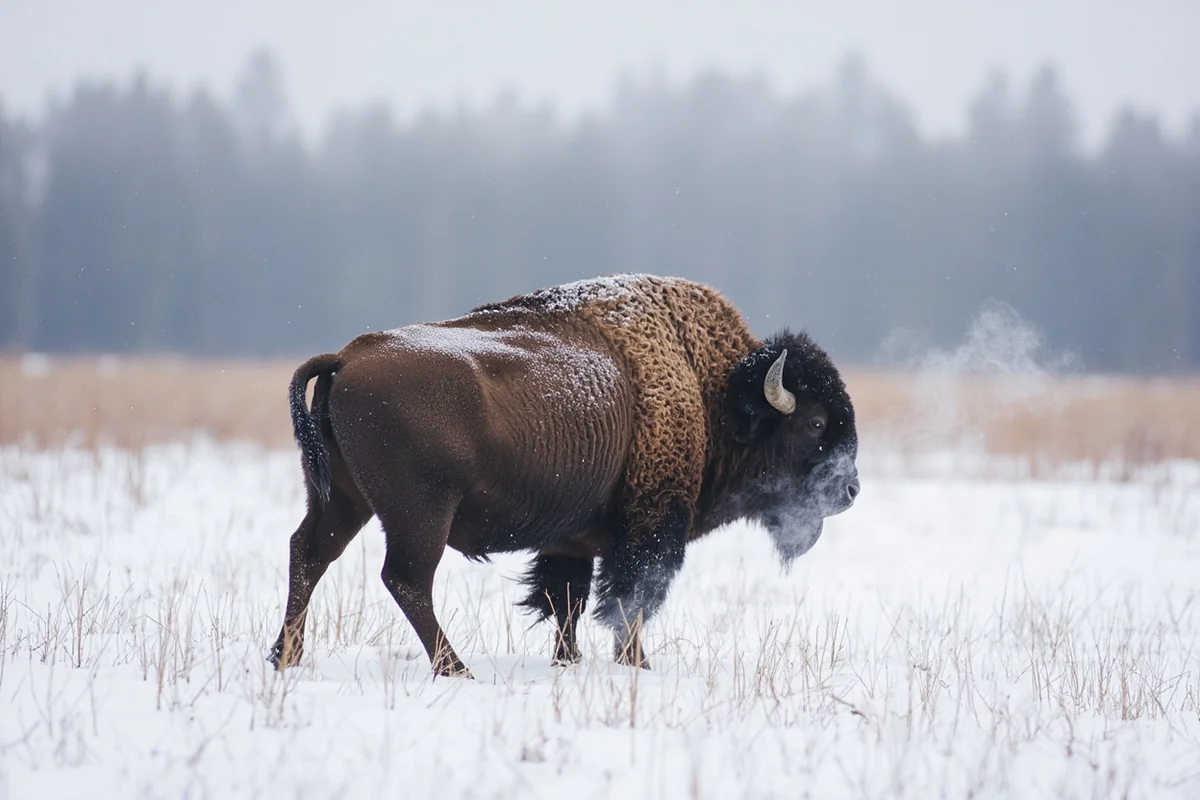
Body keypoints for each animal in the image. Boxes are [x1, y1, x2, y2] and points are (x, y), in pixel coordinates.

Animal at [269, 274, 859, 677]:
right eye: (815, 421)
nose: (850, 490)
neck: (711, 392)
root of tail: (346, 357)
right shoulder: (648, 530)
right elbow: (628, 602)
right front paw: (635, 665)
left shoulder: (572, 542)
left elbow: (566, 602)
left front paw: (568, 663)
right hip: (419, 515)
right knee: (406, 580)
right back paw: (456, 670)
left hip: (342, 500)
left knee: (309, 553)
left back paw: (285, 656)